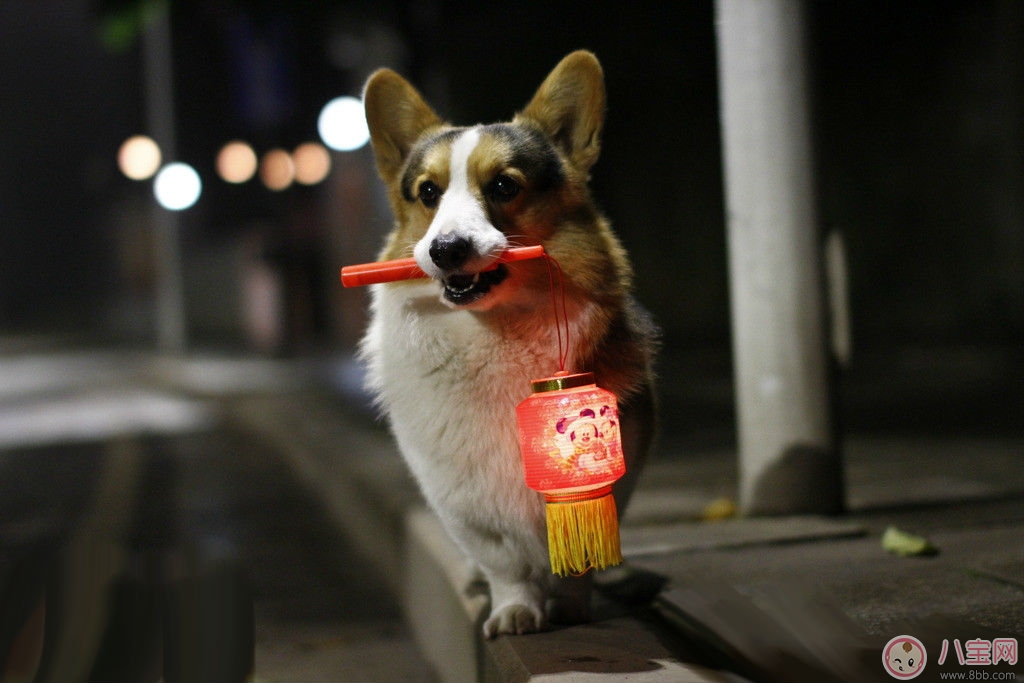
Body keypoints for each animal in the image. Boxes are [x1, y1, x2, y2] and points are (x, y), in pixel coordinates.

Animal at [360, 50, 659, 638]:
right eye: (428, 193)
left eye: (503, 186)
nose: (447, 249)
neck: (493, 331)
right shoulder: (464, 504)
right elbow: (505, 564)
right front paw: (515, 609)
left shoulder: (609, 479)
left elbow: (575, 556)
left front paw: (570, 605)